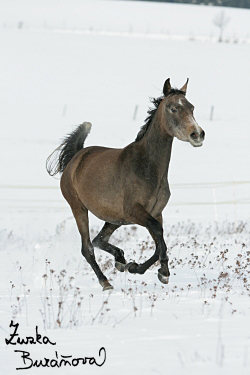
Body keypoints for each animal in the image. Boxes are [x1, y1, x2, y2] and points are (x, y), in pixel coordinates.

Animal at [46, 78, 205, 290]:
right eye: (173, 108)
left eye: (192, 107)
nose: (198, 134)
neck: (146, 167)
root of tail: (76, 158)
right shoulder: (135, 212)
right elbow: (158, 235)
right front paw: (159, 272)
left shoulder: (156, 212)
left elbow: (159, 242)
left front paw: (137, 267)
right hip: (79, 208)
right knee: (87, 247)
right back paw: (105, 281)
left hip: (115, 219)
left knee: (99, 239)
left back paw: (120, 260)